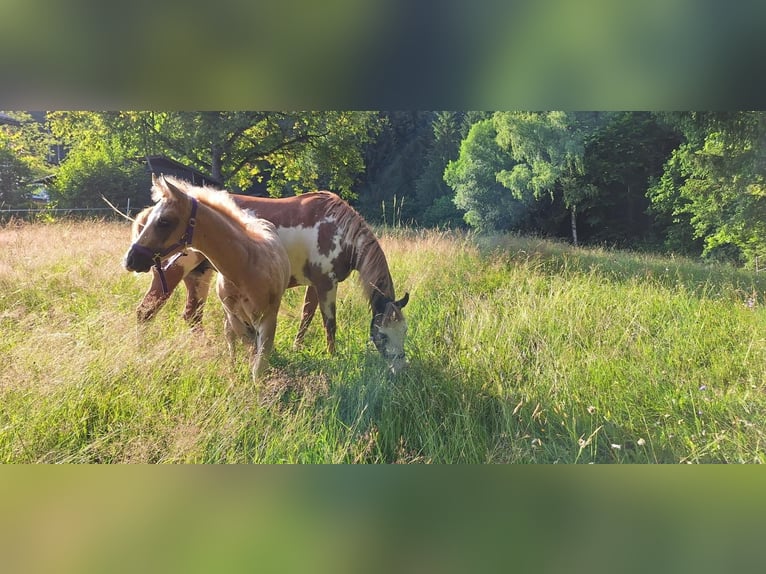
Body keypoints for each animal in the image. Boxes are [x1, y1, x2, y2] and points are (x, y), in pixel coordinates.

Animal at [123, 175, 291, 380]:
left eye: (164, 221)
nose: (130, 259)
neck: (246, 266)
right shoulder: (236, 317)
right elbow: (251, 352)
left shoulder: (268, 318)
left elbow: (259, 363)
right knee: (149, 312)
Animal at [129, 188, 410, 374]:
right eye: (382, 335)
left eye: (404, 331)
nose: (399, 368)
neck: (336, 229)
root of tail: (146, 215)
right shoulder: (326, 283)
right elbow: (329, 324)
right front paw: (334, 357)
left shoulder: (313, 284)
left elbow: (306, 316)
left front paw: (298, 348)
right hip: (173, 273)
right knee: (146, 312)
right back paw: (141, 351)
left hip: (199, 276)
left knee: (192, 316)